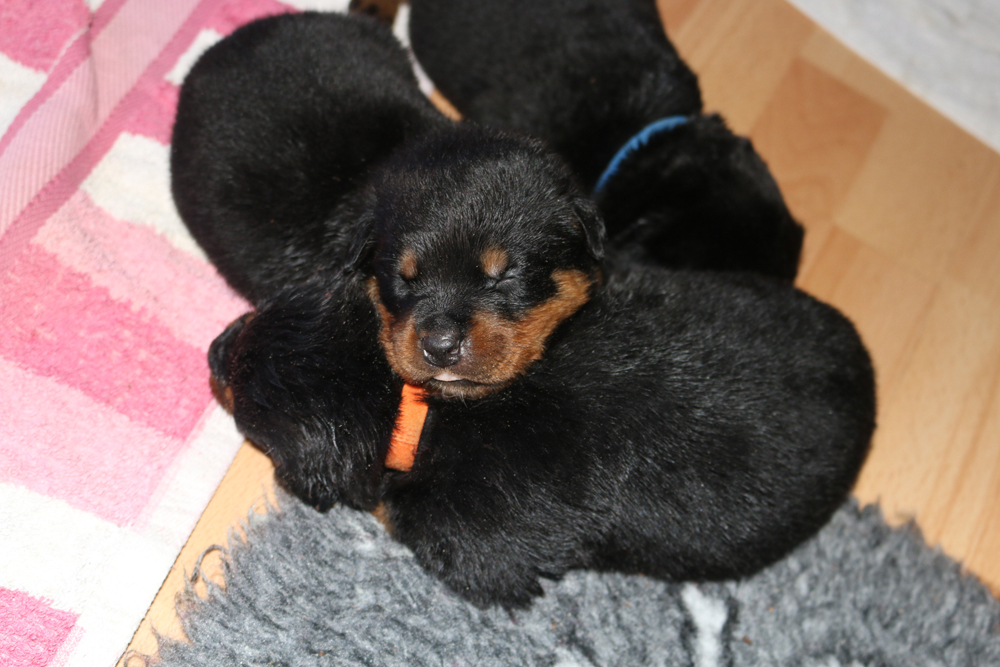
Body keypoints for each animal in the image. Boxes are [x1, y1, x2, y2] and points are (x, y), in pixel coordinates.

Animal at [212, 262, 875, 608]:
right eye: (256, 314)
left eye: (247, 399)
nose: (215, 349)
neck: (411, 404)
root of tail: (867, 380)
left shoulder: (478, 545)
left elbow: (402, 511)